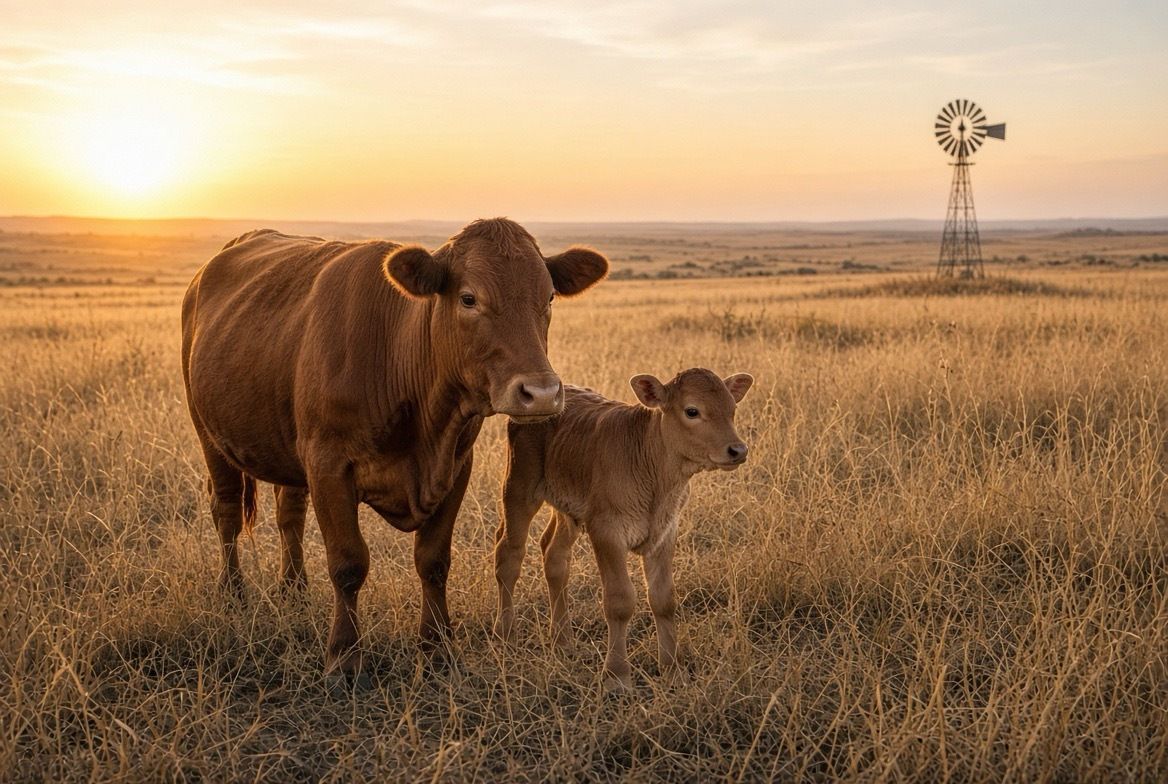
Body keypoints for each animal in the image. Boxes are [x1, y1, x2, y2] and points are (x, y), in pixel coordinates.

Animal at [180, 218, 608, 684]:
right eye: (469, 298)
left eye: (548, 297)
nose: (542, 393)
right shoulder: (329, 466)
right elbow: (348, 563)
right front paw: (344, 657)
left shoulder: (456, 467)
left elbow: (433, 560)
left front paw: (437, 648)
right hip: (209, 435)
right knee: (226, 512)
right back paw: (232, 593)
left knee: (289, 515)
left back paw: (294, 590)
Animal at [493, 368, 754, 690]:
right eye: (692, 411)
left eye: (732, 409)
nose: (737, 450)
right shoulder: (606, 530)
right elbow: (620, 601)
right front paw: (617, 676)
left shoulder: (664, 532)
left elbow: (664, 599)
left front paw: (673, 669)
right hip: (519, 485)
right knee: (509, 555)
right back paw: (506, 636)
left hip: (569, 506)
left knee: (554, 556)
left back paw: (563, 641)